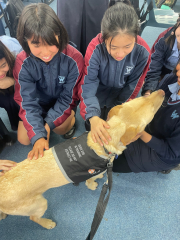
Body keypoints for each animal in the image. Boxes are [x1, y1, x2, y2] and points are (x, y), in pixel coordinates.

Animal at [0, 89, 165, 229]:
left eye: (143, 97)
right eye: (152, 112)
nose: (163, 91)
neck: (103, 143)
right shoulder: (94, 172)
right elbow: (91, 181)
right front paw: (93, 185)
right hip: (39, 204)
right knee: (33, 218)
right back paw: (47, 223)